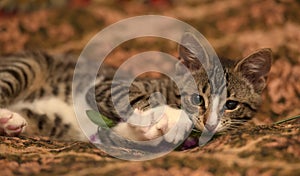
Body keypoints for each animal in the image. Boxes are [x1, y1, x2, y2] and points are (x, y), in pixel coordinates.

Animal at [0, 32, 272, 144]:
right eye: (197, 99)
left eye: (231, 105)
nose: (210, 122)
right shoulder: (104, 84)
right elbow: (133, 95)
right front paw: (173, 117)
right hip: (28, 64)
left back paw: (11, 122)